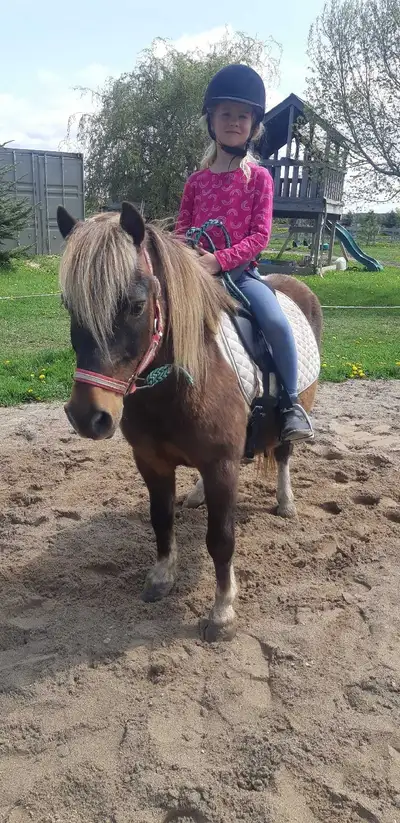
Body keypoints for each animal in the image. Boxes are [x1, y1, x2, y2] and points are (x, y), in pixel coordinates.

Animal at [56, 201, 322, 642]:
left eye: (135, 304)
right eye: (68, 305)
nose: (87, 416)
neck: (178, 385)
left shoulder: (222, 465)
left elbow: (221, 539)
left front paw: (222, 612)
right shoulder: (151, 462)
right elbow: (161, 519)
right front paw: (162, 578)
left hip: (298, 409)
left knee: (284, 453)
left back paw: (286, 502)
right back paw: (197, 495)